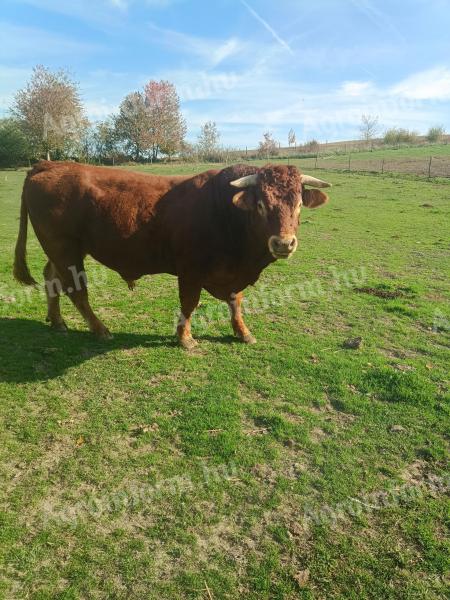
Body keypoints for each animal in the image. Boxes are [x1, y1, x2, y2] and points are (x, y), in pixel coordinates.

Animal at [14, 161, 330, 346]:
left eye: (298, 204)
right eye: (261, 204)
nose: (283, 243)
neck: (224, 210)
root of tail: (48, 164)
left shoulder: (231, 273)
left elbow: (236, 302)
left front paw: (243, 332)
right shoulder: (190, 270)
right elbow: (189, 304)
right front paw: (185, 338)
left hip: (61, 251)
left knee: (51, 278)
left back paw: (58, 322)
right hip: (65, 249)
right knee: (76, 291)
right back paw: (100, 329)